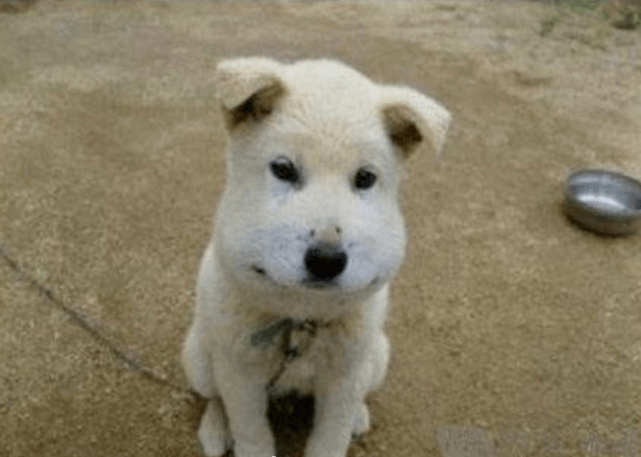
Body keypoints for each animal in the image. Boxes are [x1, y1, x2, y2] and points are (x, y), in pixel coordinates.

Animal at [181, 57, 450, 456]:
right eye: (283, 169)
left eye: (365, 178)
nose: (326, 260)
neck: (301, 320)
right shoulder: (240, 376)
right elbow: (251, 434)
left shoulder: (344, 380)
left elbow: (331, 437)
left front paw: (346, 424)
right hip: (199, 357)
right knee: (214, 397)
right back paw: (214, 429)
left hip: (376, 359)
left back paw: (358, 417)